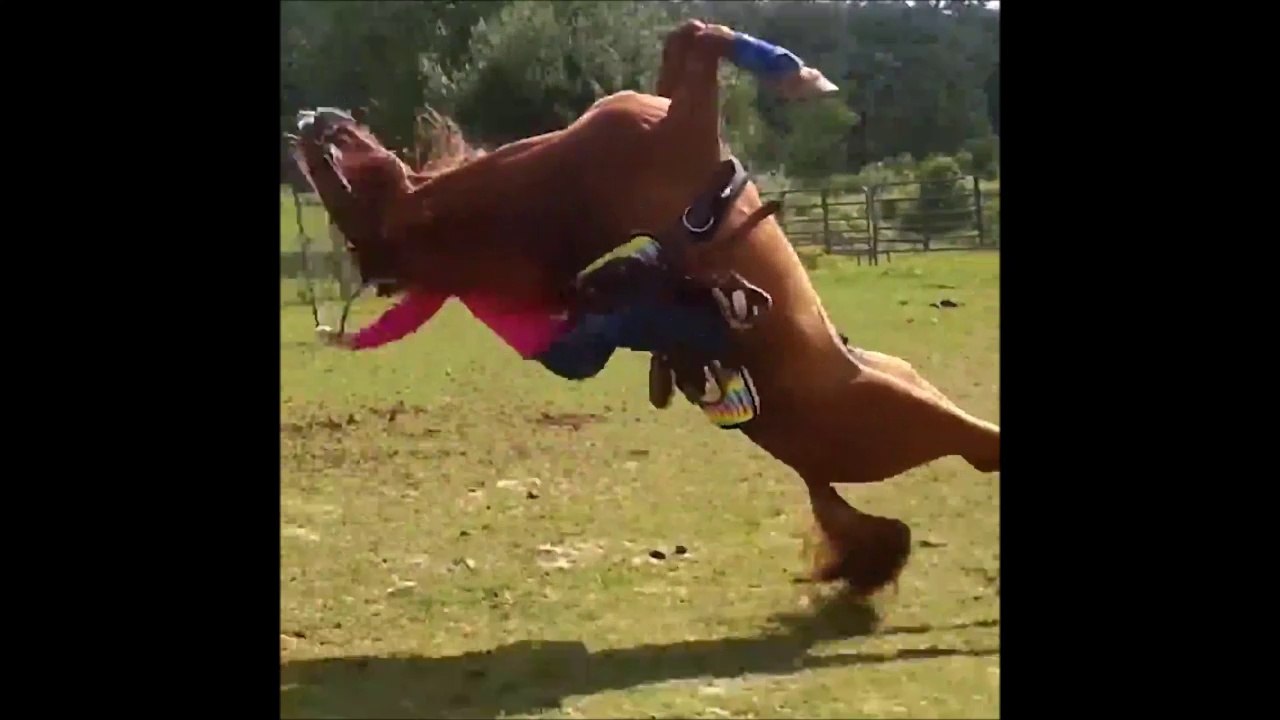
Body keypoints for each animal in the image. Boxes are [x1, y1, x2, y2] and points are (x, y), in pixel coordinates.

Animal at [292, 19, 1000, 597]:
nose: (309, 123)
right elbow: (699, 37)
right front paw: (797, 74)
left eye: (342, 181)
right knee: (981, 450)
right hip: (906, 424)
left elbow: (683, 39)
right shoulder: (683, 127)